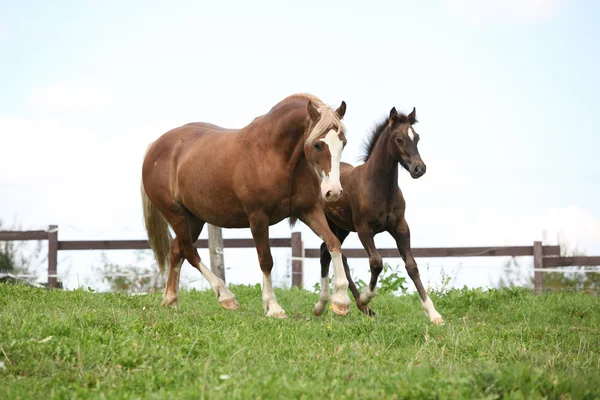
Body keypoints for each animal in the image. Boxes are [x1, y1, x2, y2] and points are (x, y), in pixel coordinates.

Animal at [316, 106, 442, 324]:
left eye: (416, 137)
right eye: (399, 139)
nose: (419, 168)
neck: (381, 188)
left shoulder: (401, 227)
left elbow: (411, 265)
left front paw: (433, 313)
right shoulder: (364, 229)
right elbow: (376, 262)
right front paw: (367, 296)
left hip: (341, 227)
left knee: (328, 251)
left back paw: (355, 308)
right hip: (332, 224)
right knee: (329, 252)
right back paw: (351, 304)